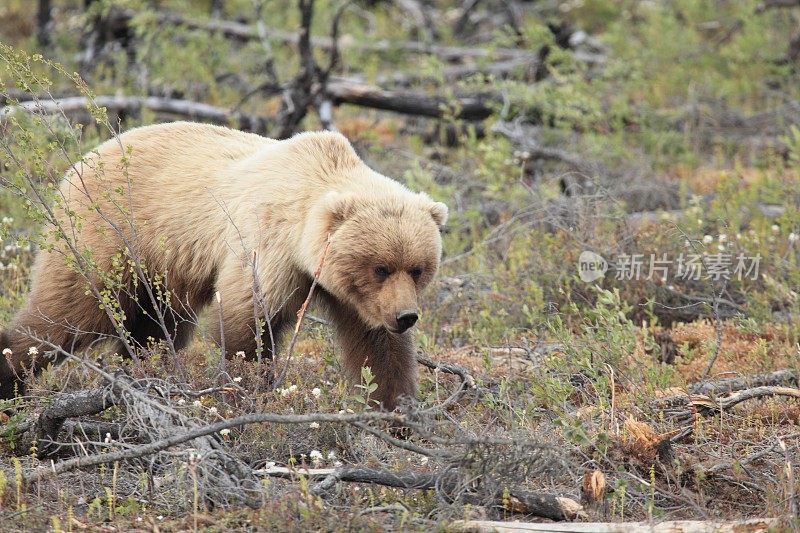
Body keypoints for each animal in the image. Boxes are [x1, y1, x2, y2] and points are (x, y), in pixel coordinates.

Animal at [0, 122, 444, 410]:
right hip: (110, 238)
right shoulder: (265, 246)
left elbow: (377, 347)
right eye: (380, 267)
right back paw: (12, 377)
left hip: (163, 273)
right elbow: (246, 322)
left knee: (155, 328)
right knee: (65, 313)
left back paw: (145, 374)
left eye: (417, 268)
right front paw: (245, 392)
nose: (406, 316)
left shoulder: (353, 296)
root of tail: (81, 160)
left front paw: (398, 407)